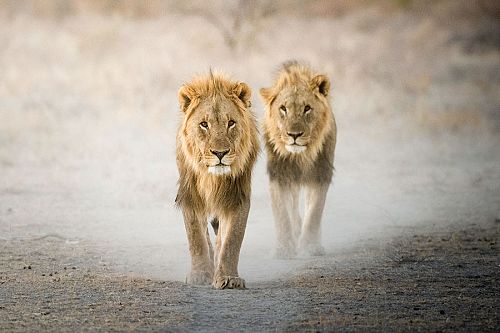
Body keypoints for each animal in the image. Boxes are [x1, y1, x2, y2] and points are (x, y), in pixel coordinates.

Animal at [176, 72, 260, 288]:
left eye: (231, 123)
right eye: (204, 124)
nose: (220, 153)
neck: (213, 178)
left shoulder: (238, 197)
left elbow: (232, 240)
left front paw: (229, 278)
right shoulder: (190, 195)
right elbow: (196, 237)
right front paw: (200, 274)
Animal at [260, 61, 338, 256]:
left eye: (307, 108)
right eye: (283, 108)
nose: (294, 135)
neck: (300, 156)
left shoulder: (320, 174)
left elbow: (315, 211)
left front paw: (310, 246)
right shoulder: (279, 175)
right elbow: (282, 214)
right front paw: (284, 249)